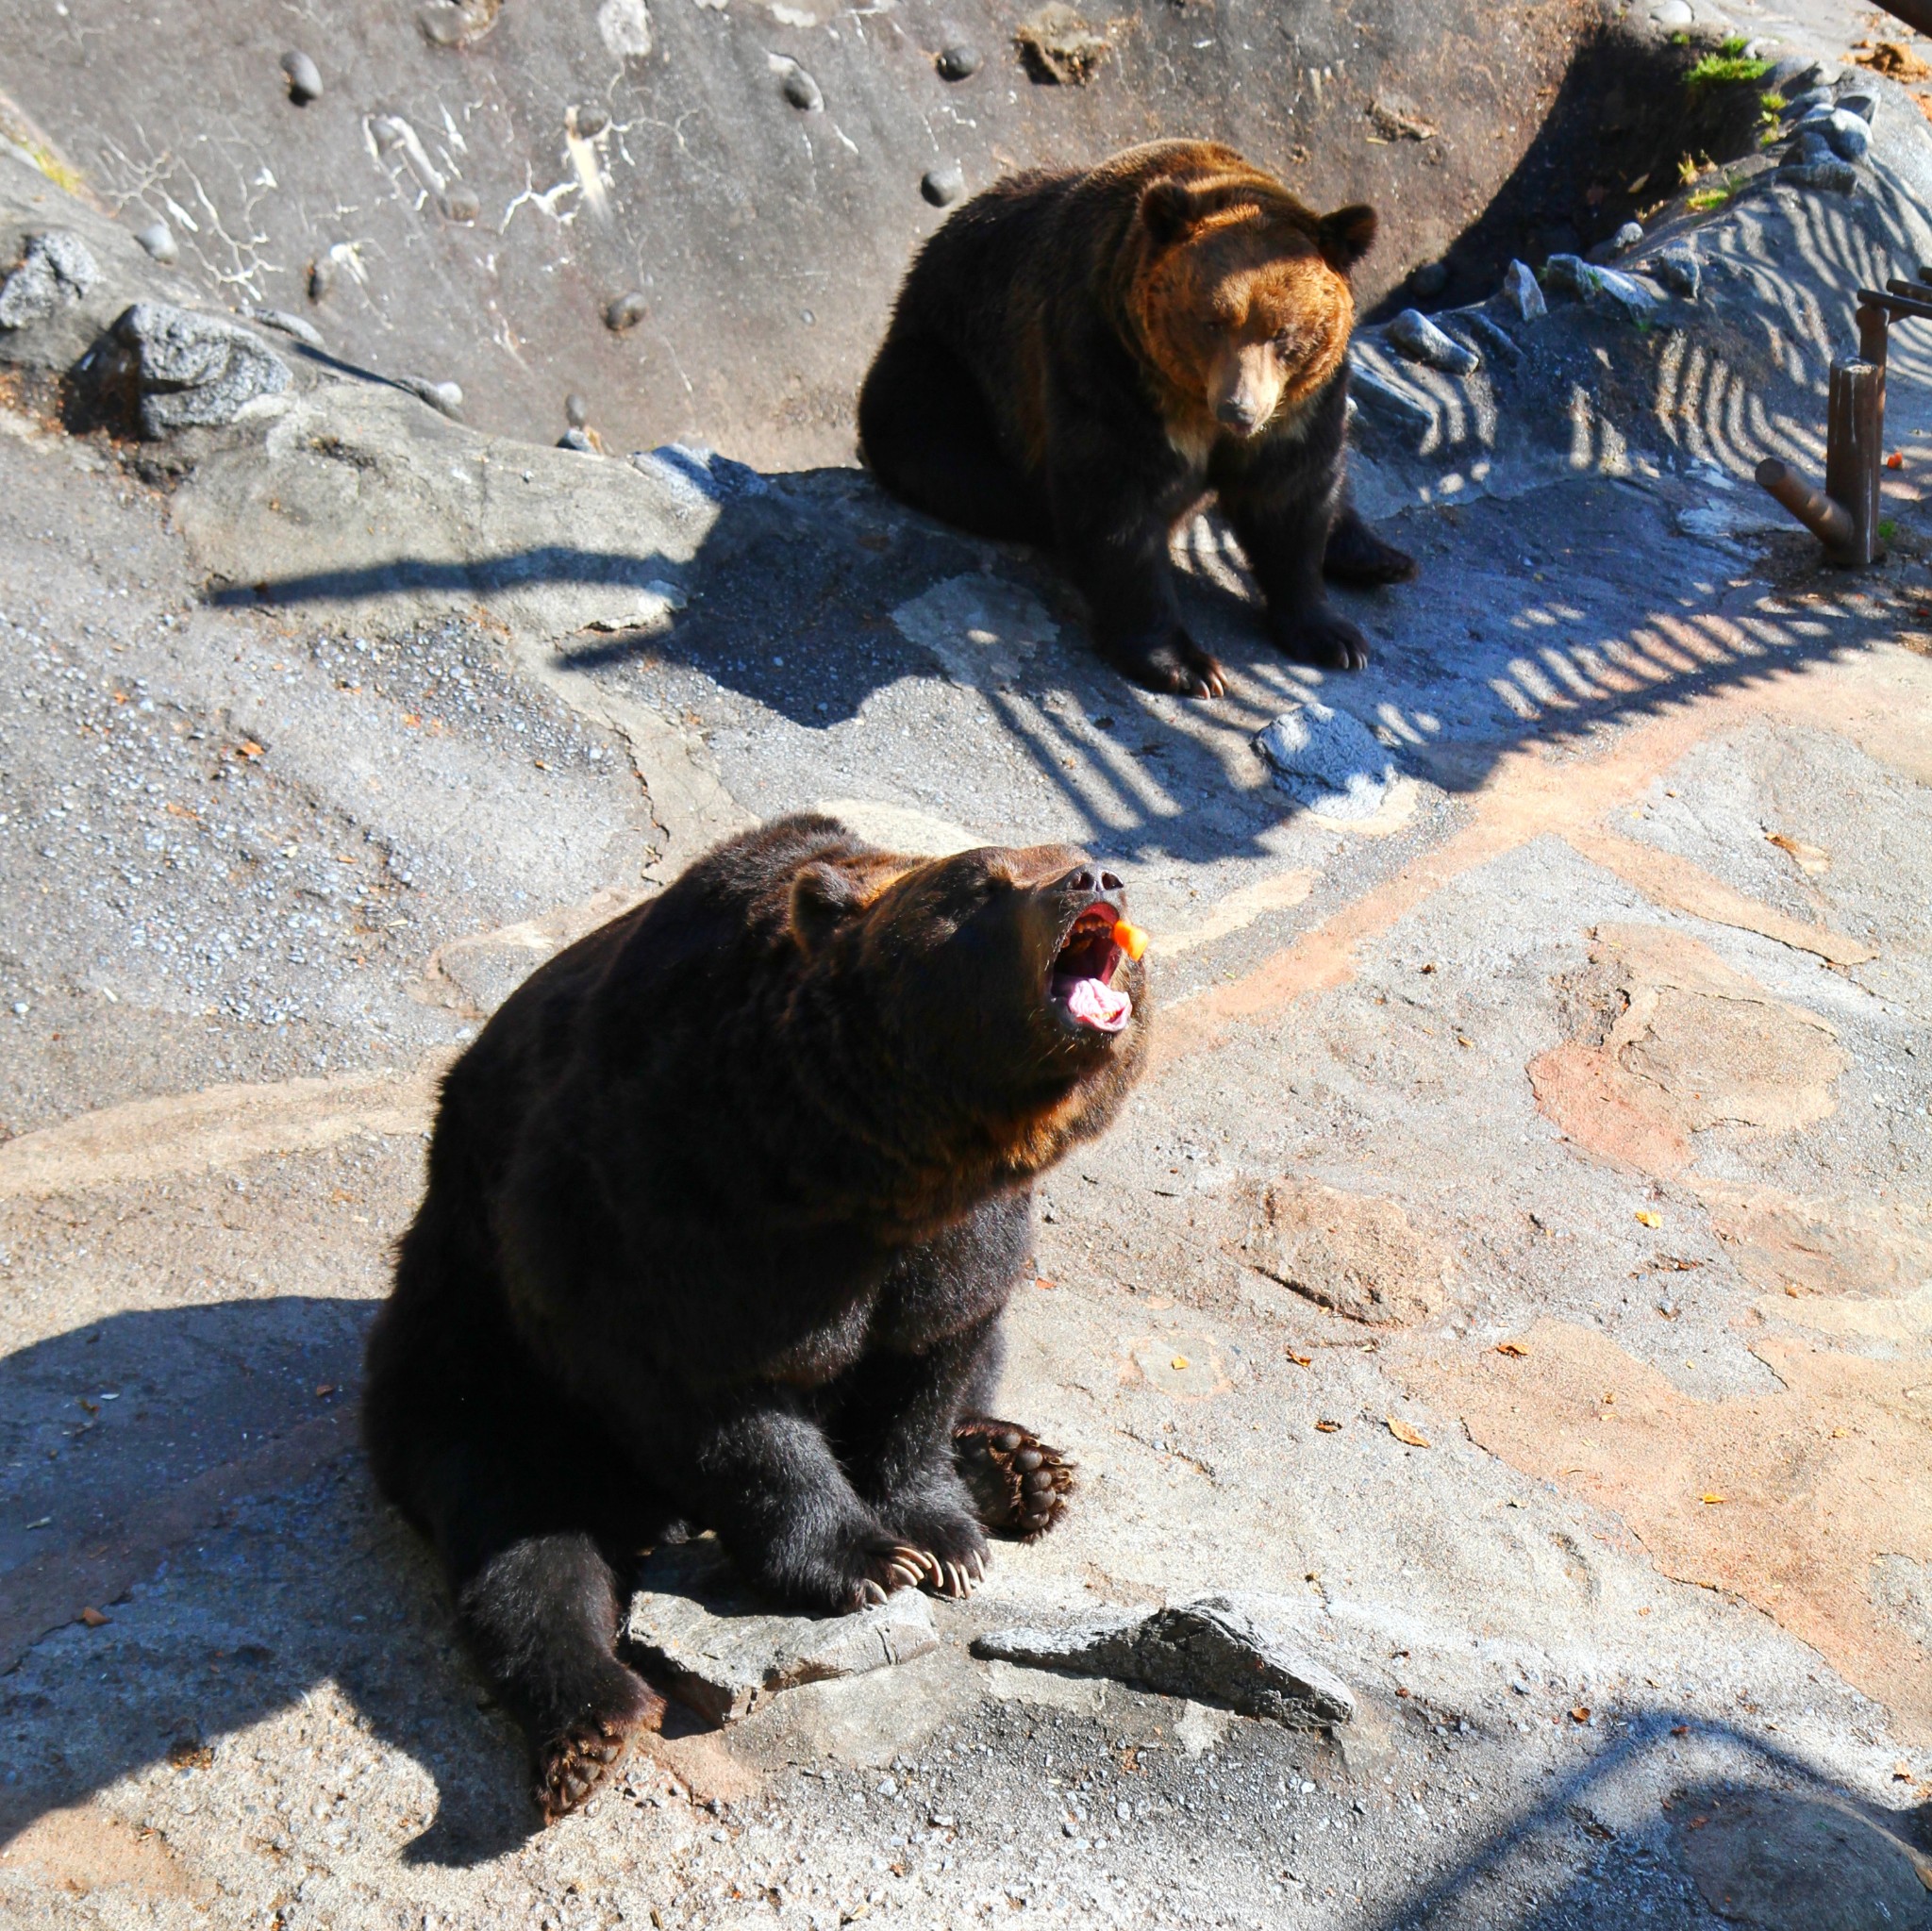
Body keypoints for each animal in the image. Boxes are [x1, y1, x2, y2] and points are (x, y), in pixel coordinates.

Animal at [363, 814, 1143, 1823]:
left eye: (1071, 855)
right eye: (984, 882)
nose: (1098, 877)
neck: (875, 1163)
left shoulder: (957, 1241)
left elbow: (933, 1359)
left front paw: (944, 1537)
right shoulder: (667, 1191)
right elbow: (714, 1395)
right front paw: (862, 1561)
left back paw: (1019, 1468)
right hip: (472, 1351)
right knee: (519, 1533)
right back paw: (590, 1723)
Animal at [854, 141, 1414, 703]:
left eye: (1283, 333)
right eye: (1212, 322)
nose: (1238, 410)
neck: (1193, 403)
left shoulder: (1299, 405)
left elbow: (1293, 495)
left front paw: (1333, 636)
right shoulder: (1107, 365)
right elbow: (1117, 505)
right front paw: (1189, 666)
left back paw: (1378, 556)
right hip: (947, 365)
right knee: (936, 438)